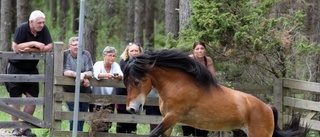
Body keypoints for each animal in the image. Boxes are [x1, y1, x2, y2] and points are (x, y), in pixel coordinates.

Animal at [122, 48, 308, 136]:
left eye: (136, 82)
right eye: (126, 83)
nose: (131, 109)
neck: (177, 84)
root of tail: (268, 108)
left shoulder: (172, 117)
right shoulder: (168, 121)